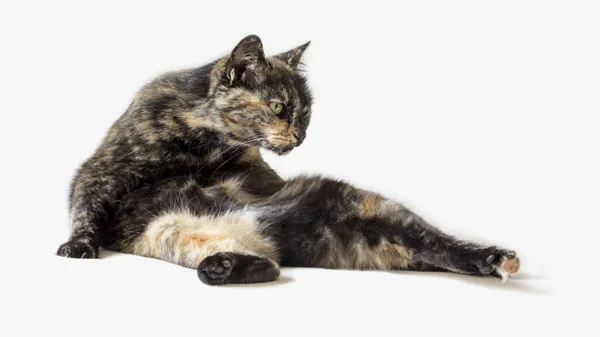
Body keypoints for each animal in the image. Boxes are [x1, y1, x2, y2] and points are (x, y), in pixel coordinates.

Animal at [57, 35, 520, 284]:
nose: (300, 136)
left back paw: (494, 258)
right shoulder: (98, 172)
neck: (202, 141)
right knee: (264, 266)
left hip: (375, 208)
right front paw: (78, 246)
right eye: (279, 107)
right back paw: (225, 266)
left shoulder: (249, 166)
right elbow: (85, 210)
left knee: (438, 242)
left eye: (306, 112)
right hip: (170, 234)